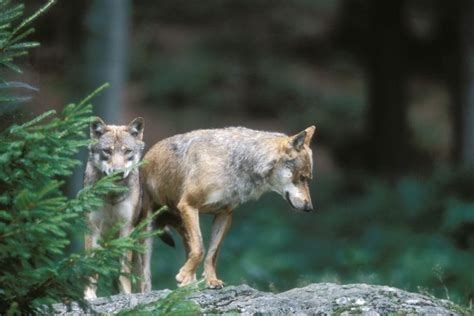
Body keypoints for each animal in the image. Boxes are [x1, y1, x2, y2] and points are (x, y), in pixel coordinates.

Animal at [83, 117, 145, 300]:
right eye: (107, 151)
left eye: (127, 151)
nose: (118, 172)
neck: (111, 194)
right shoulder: (92, 228)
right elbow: (91, 268)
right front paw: (89, 296)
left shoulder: (126, 229)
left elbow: (124, 270)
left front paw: (126, 294)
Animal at [139, 124, 314, 290]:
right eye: (302, 177)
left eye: (308, 179)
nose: (310, 208)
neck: (233, 163)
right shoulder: (188, 205)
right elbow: (201, 249)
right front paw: (184, 275)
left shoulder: (225, 215)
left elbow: (212, 254)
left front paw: (211, 281)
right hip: (146, 237)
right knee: (142, 275)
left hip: (184, 229)